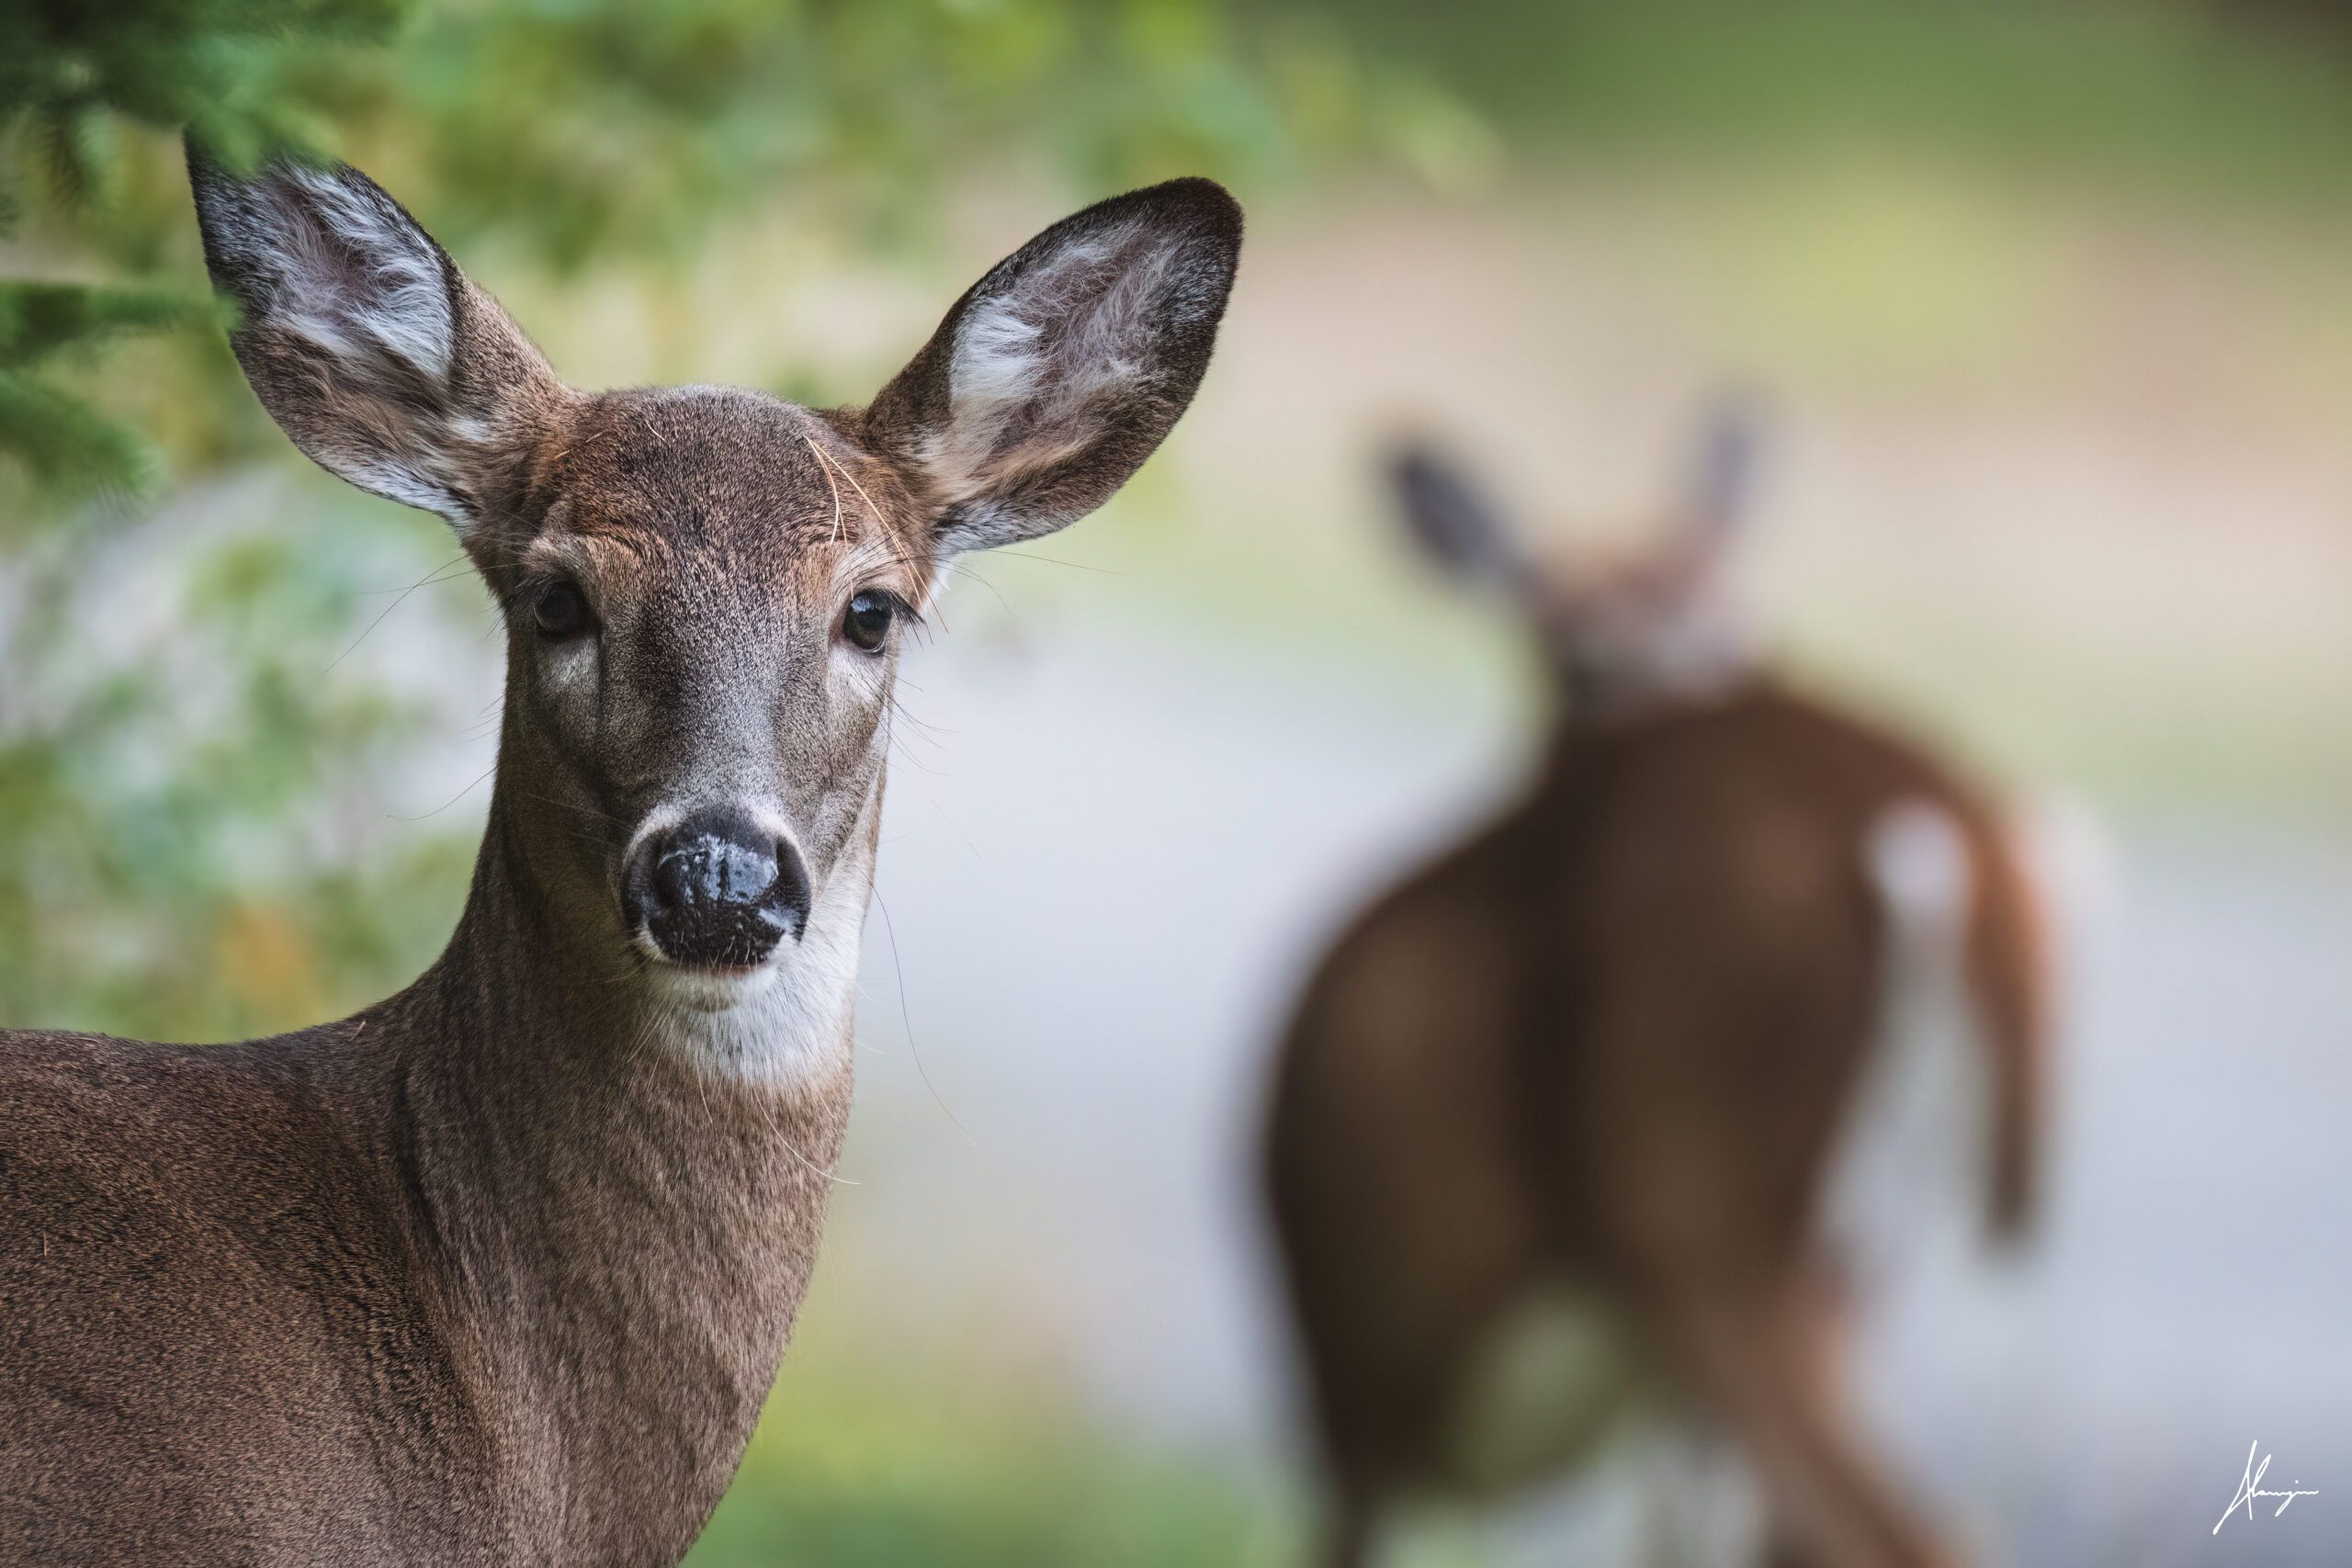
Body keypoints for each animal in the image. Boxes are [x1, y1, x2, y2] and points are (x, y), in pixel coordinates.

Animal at [1261, 409, 2051, 1568]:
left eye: (1733, 631)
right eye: (1585, 657)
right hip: (1843, 1262)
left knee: (1896, 1529)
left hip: (1703, 1215)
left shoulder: (1353, 1369)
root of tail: (1933, 829)